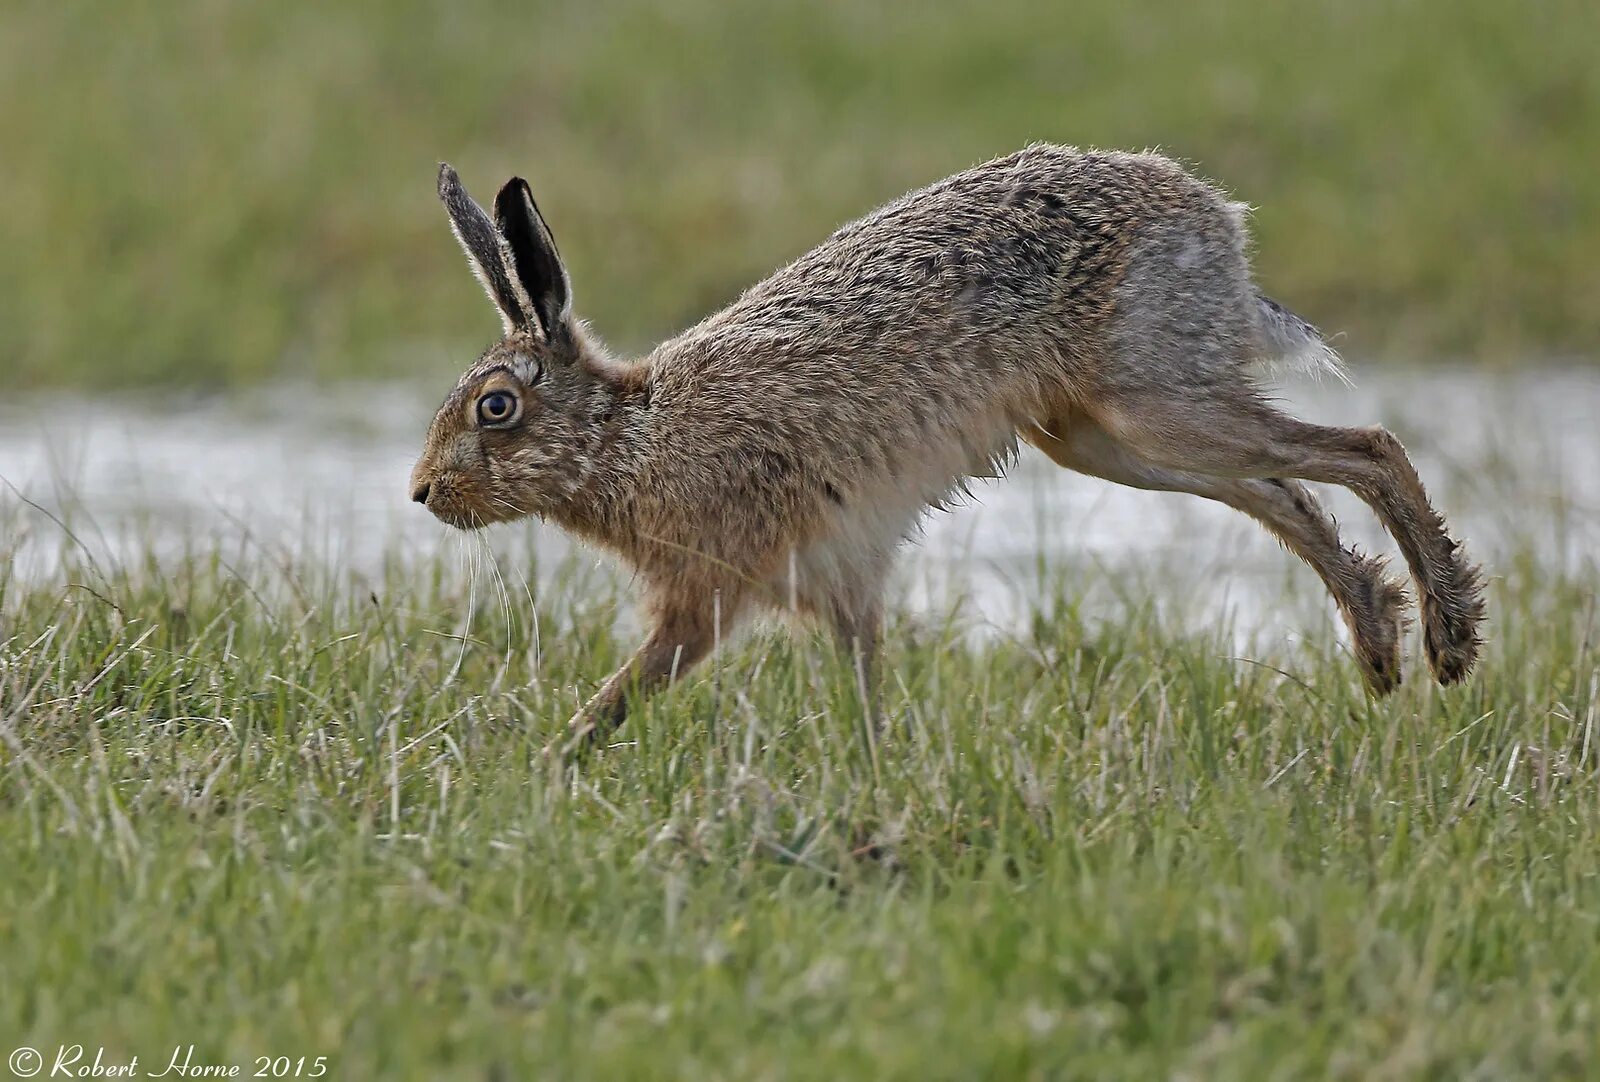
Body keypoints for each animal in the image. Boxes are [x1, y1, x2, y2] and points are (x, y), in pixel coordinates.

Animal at [410, 144, 1484, 749]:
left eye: (496, 409)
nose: (421, 494)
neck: (628, 436)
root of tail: (1211, 218)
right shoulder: (839, 580)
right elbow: (865, 680)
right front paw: (879, 776)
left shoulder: (707, 593)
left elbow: (626, 694)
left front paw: (552, 768)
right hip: (1104, 439)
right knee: (1286, 492)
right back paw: (1381, 645)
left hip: (1151, 407)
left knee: (1366, 445)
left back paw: (1447, 637)